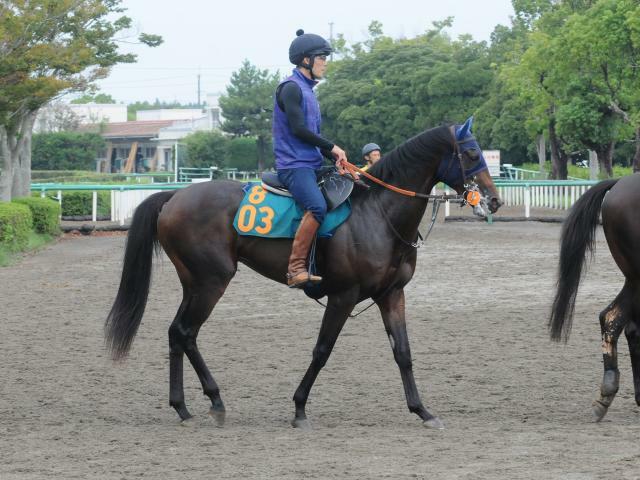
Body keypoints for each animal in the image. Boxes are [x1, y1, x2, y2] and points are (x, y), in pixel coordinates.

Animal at [106, 123, 504, 428]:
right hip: (211, 282)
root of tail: (174, 197)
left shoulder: (392, 294)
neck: (378, 214)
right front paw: (299, 408)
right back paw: (213, 402)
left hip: (194, 284)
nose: (494, 200)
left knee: (177, 333)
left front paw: (422, 411)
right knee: (187, 332)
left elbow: (403, 353)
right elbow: (322, 350)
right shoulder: (344, 296)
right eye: (471, 154)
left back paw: (184, 407)